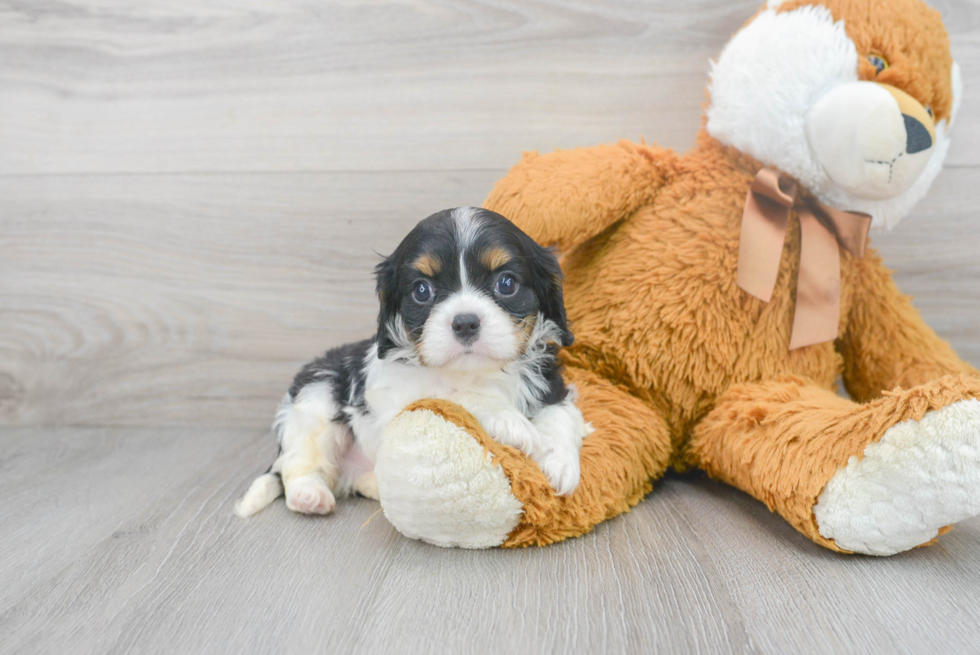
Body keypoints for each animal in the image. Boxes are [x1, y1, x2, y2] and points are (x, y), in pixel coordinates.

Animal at [235, 208, 588, 520]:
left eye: (506, 283)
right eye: (422, 290)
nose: (465, 323)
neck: (476, 372)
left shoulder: (550, 382)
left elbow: (561, 414)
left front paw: (560, 463)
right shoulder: (397, 393)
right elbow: (450, 394)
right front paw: (510, 422)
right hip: (315, 399)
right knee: (297, 465)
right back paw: (309, 495)